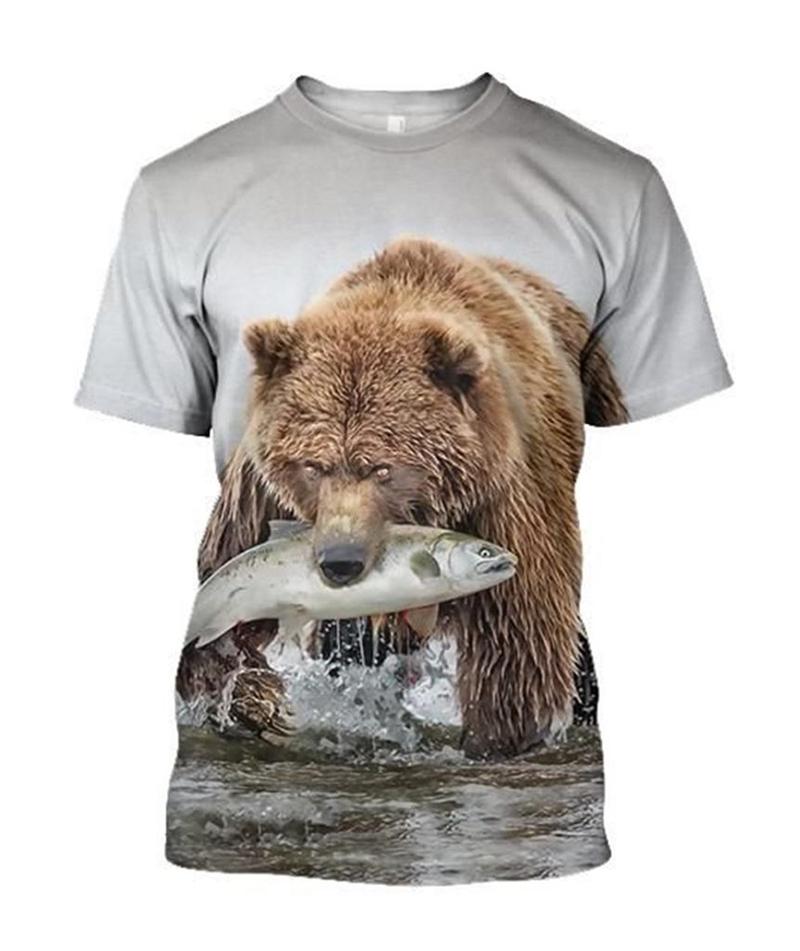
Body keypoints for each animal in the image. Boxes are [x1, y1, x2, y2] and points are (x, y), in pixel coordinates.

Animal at [177, 237, 627, 758]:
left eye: (383, 468)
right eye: (313, 466)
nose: (340, 562)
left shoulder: (505, 503)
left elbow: (517, 648)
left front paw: (498, 738)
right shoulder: (261, 498)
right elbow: (224, 601)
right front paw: (262, 702)